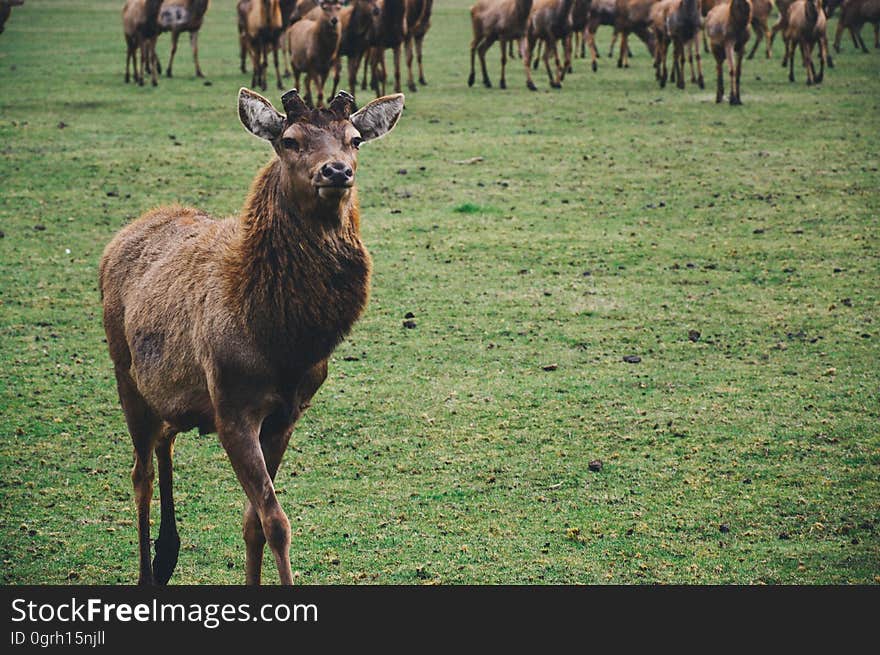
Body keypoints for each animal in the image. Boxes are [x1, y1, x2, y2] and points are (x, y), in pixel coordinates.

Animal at [100, 87, 406, 584]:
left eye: (355, 139)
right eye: (289, 139)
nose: (336, 171)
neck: (281, 341)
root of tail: (120, 237)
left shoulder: (287, 414)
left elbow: (254, 522)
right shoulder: (231, 408)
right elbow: (276, 521)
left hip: (168, 389)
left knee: (165, 439)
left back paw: (168, 554)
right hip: (124, 372)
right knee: (140, 475)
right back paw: (147, 570)